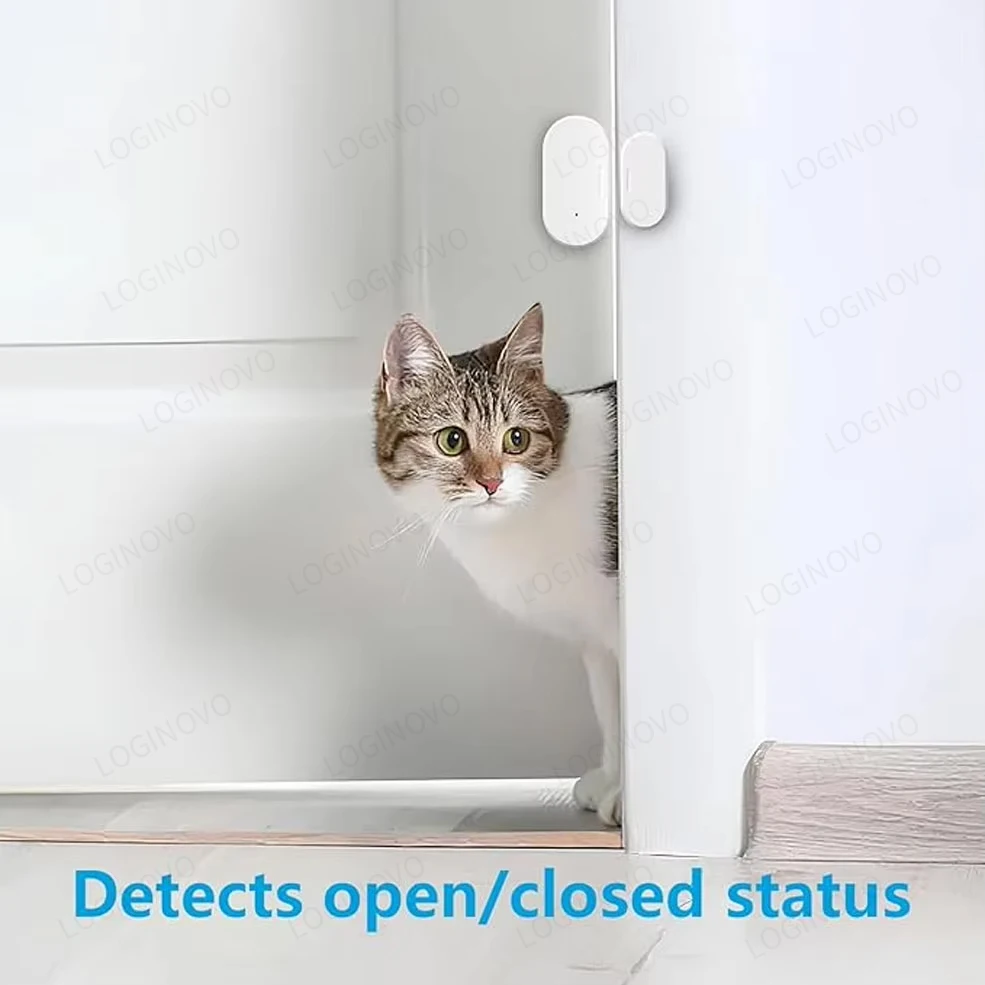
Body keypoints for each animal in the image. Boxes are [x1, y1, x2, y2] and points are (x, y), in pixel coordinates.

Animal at [373, 302, 621, 826]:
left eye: (517, 438)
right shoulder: (596, 638)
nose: (491, 482)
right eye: (451, 440)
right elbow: (610, 709)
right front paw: (614, 778)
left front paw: (629, 795)